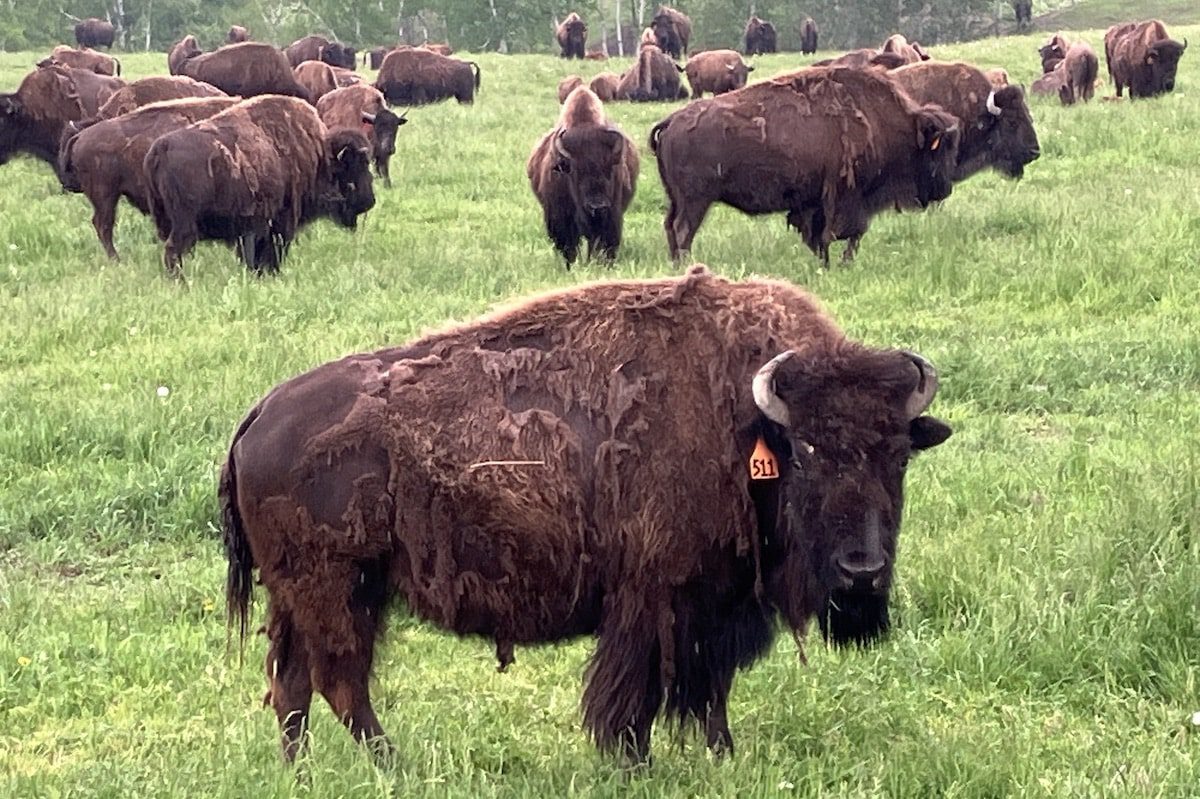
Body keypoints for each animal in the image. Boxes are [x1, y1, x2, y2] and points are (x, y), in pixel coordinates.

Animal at [143, 95, 375, 275]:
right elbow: (273, 253)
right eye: (355, 166)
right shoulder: (281, 223)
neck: (320, 156)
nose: (370, 201)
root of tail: (161, 148)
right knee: (173, 251)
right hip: (185, 224)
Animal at [219, 264, 952, 763]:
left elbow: (709, 693)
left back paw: (304, 771)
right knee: (339, 682)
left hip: (308, 597)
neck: (744, 425)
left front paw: (721, 756)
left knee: (293, 685)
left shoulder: (715, 606)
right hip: (339, 591)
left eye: (898, 455)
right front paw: (635, 763)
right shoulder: (655, 601)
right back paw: (395, 766)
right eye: (805, 451)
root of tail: (258, 415)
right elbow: (633, 697)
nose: (862, 569)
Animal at [527, 86, 638, 265]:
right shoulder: (560, 222)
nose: (597, 206)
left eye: (610, 168)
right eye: (575, 171)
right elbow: (569, 249)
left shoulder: (612, 218)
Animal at [650, 66, 961, 264]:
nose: (945, 189)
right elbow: (847, 233)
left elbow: (820, 236)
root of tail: (671, 121)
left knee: (670, 227)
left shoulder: (813, 201)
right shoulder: (845, 196)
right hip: (696, 201)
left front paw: (825, 264)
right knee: (683, 230)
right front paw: (841, 263)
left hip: (678, 199)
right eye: (939, 149)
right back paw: (686, 266)